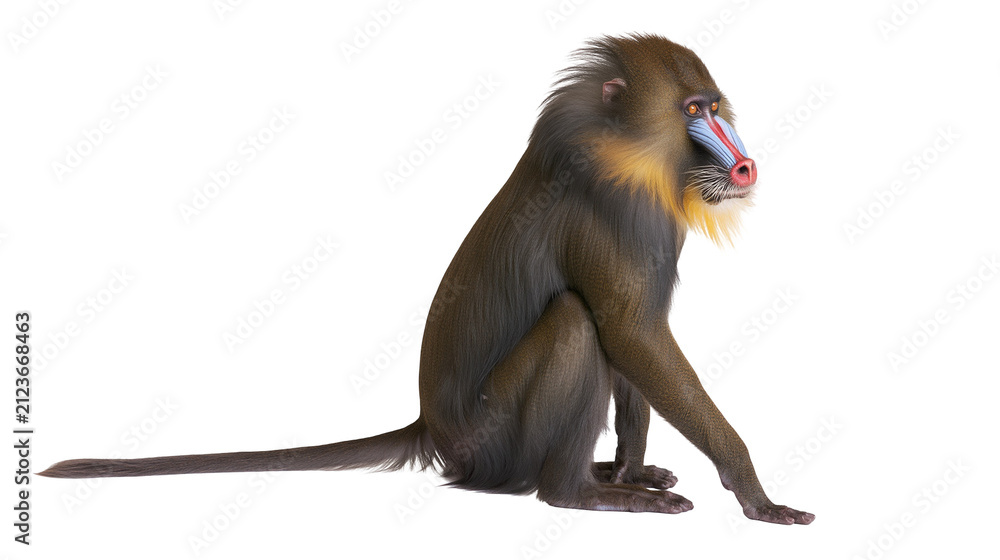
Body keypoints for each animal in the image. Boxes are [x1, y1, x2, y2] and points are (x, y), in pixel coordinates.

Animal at [40, 34, 814, 525]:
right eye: (692, 111)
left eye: (713, 106)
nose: (744, 165)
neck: (622, 145)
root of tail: (435, 434)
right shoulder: (620, 213)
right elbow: (628, 330)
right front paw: (755, 495)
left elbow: (636, 353)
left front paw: (631, 465)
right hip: (495, 439)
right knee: (573, 324)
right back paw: (579, 492)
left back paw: (605, 478)